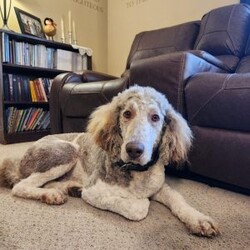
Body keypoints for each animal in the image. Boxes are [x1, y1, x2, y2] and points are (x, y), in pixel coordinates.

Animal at [0, 85, 219, 236]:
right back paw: (51, 194)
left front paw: (199, 220)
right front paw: (140, 200)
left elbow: (178, 199)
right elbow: (138, 207)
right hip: (66, 151)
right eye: (127, 113)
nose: (134, 150)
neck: (137, 172)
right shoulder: (94, 191)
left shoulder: (159, 186)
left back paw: (65, 189)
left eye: (155, 117)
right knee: (20, 186)